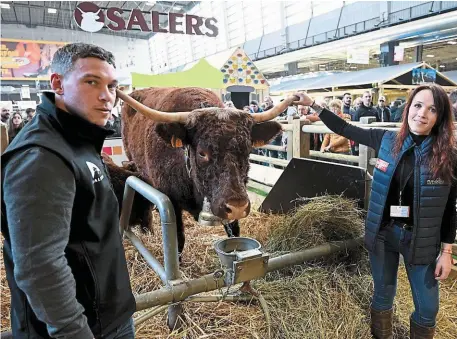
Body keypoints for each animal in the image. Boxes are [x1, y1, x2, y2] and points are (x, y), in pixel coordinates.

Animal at [114, 86, 296, 256]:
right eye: (202, 153)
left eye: (247, 149)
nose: (237, 206)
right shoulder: (171, 202)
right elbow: (178, 240)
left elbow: (235, 232)